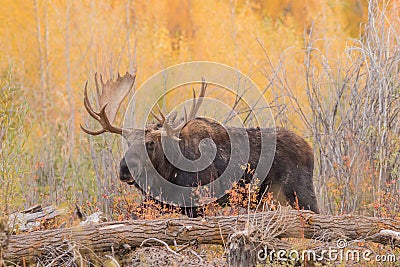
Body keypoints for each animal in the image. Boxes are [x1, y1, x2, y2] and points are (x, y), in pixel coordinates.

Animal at [80, 71, 318, 218]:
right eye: (127, 141)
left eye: (151, 143)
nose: (124, 169)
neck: (168, 171)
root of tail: (310, 150)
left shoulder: (198, 201)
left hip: (301, 192)